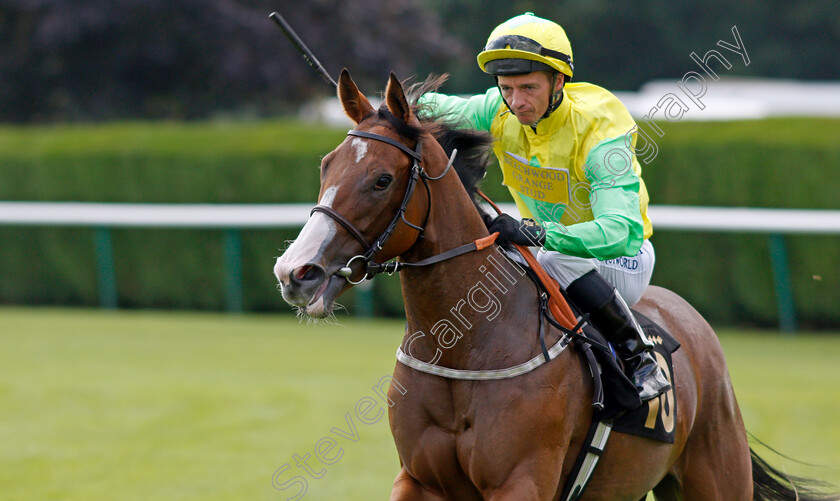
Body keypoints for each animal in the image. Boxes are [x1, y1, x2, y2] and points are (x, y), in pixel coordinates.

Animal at [272, 69, 836, 500]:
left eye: (382, 180)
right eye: (326, 166)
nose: (296, 272)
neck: (466, 350)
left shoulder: (520, 482)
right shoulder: (418, 479)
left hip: (714, 472)